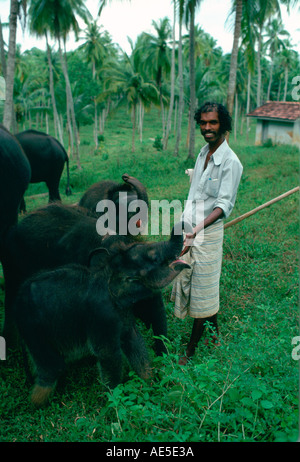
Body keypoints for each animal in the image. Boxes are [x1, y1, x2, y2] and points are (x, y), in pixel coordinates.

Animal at [14, 228, 188, 408]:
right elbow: (108, 354)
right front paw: (116, 403)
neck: (107, 273)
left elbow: (134, 341)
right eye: (155, 258)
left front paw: (149, 385)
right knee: (52, 368)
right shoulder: (100, 317)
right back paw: (36, 404)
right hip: (32, 329)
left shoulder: (123, 313)